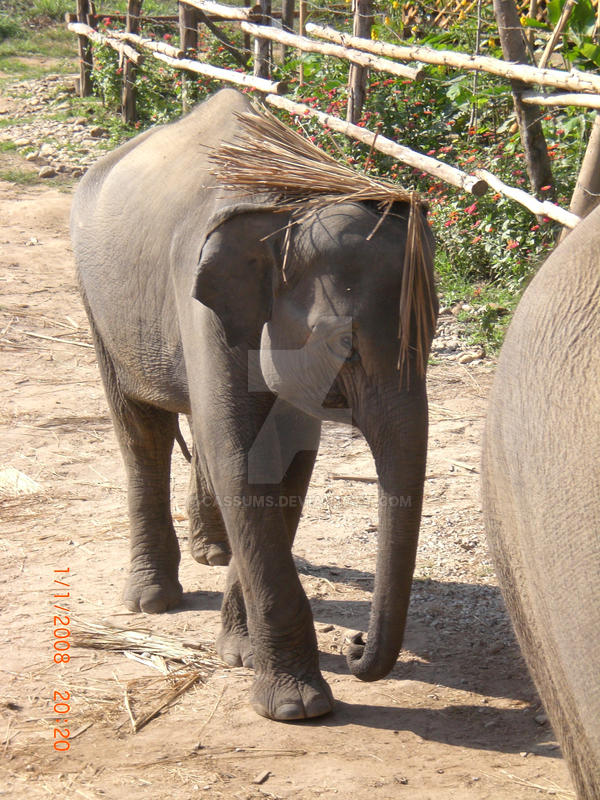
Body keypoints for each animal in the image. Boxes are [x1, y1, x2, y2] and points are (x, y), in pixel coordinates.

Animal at [71, 89, 436, 724]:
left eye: (434, 336)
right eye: (346, 348)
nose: (357, 644)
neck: (288, 206)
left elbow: (282, 465)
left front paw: (241, 654)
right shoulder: (202, 304)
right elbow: (243, 461)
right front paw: (297, 707)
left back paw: (213, 553)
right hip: (100, 303)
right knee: (141, 431)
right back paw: (151, 601)